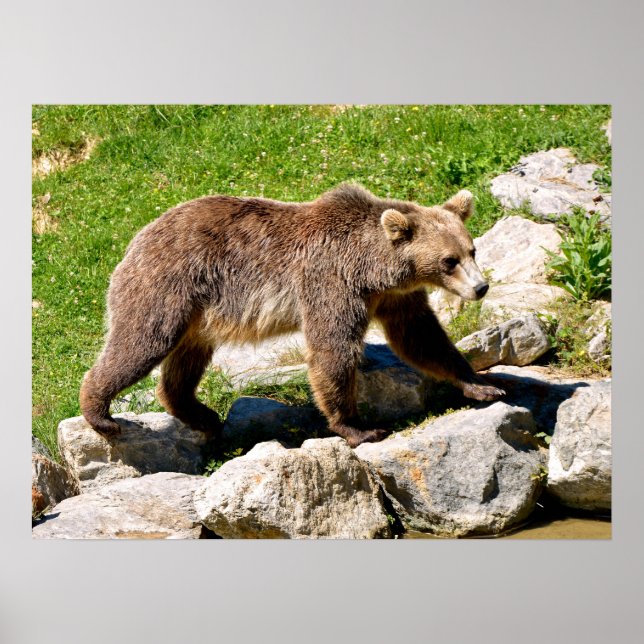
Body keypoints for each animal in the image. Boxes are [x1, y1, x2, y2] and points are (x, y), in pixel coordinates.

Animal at [80, 183, 504, 448]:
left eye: (471, 250)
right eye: (449, 261)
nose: (480, 287)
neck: (374, 269)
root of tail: (136, 238)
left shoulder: (393, 297)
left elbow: (421, 338)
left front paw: (482, 384)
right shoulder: (331, 282)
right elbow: (333, 349)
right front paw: (359, 428)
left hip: (199, 313)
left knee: (185, 361)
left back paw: (204, 417)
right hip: (168, 286)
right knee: (141, 342)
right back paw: (101, 413)